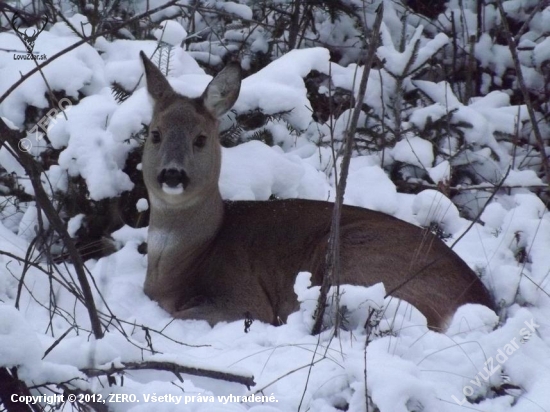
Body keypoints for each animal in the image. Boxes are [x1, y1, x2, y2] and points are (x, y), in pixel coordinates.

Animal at [139, 51, 496, 330]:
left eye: (200, 139)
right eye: (155, 133)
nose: (172, 174)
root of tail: (480, 303)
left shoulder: (246, 298)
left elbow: (177, 316)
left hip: (353, 261)